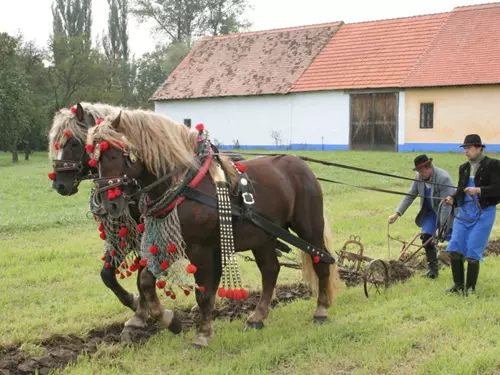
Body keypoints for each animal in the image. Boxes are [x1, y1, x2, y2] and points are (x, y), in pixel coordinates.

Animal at [88, 109, 342, 350]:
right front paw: (171, 321)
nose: (109, 204)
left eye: (114, 155)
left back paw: (321, 310)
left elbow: (204, 293)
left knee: (322, 262)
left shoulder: (200, 249)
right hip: (263, 237)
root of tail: (302, 165)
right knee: (270, 270)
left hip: (309, 227)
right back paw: (257, 318)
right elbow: (146, 281)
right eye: (95, 161)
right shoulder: (171, 243)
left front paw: (201, 335)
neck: (185, 184)